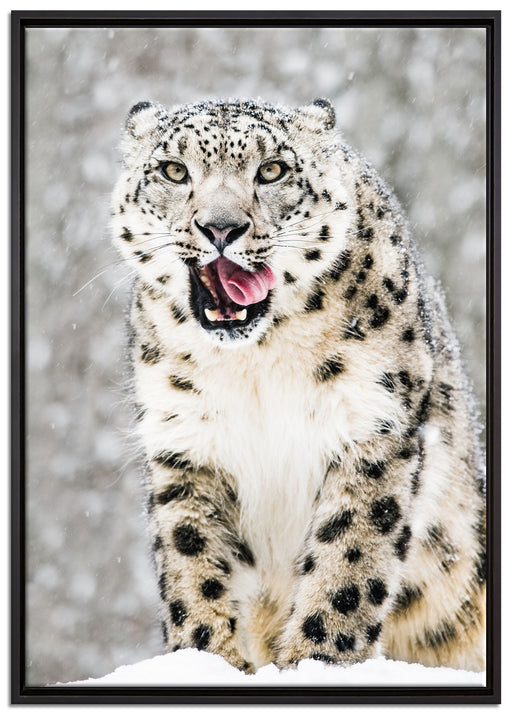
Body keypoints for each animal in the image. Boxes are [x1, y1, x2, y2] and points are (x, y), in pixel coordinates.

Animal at [111, 98, 486, 674]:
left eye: (272, 170)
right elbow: (193, 560)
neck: (257, 365)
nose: (221, 228)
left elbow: (348, 559)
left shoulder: (372, 424)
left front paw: (320, 658)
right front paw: (208, 658)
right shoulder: (187, 443)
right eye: (174, 170)